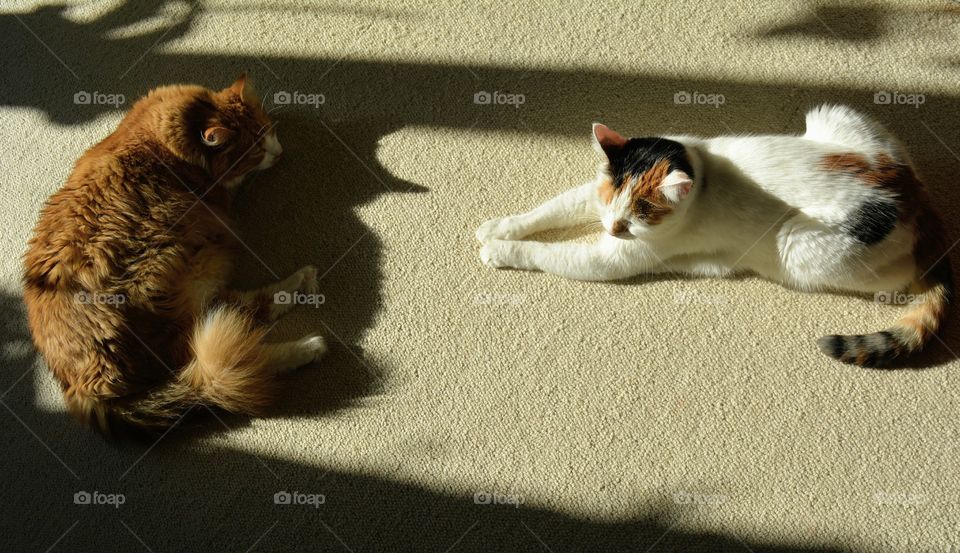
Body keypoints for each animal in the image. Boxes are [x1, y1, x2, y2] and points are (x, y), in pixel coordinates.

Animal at [22, 74, 328, 436]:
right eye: (255, 150)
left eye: (268, 130)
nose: (279, 152)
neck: (173, 138)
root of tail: (87, 389)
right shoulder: (220, 196)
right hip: (180, 275)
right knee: (234, 347)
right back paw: (308, 337)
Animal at [478, 105, 952, 368]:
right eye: (613, 198)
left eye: (639, 218)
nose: (612, 226)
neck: (703, 171)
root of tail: (916, 200)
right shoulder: (591, 198)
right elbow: (549, 209)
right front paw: (497, 226)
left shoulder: (609, 260)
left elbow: (545, 253)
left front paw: (500, 250)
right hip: (835, 114)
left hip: (800, 247)